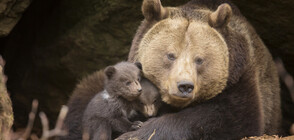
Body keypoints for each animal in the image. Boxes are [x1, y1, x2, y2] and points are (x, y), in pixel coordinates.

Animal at [117, 0, 282, 139]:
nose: (185, 86)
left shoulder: (239, 77)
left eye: (199, 59)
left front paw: (136, 134)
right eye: (170, 55)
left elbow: (234, 116)